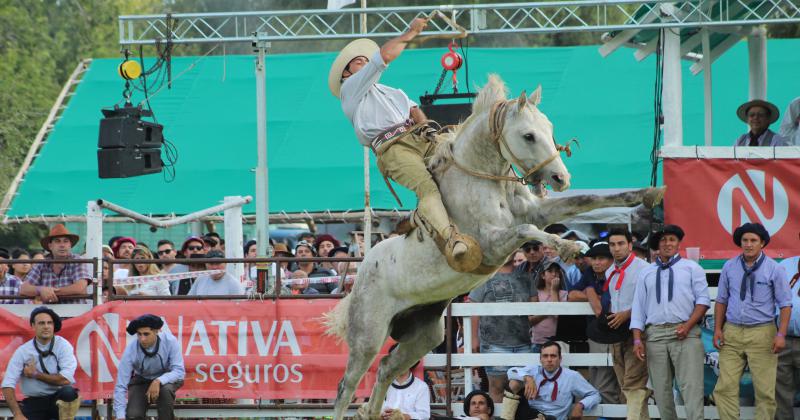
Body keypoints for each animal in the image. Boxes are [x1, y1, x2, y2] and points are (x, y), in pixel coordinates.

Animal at [324, 75, 664, 420]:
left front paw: (647, 193)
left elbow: (587, 200)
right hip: (368, 335)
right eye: (528, 135)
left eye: (549, 128)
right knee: (346, 385)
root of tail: (363, 270)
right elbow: (527, 230)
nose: (560, 177)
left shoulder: (538, 212)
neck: (483, 181)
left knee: (386, 369)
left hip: (425, 334)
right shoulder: (490, 243)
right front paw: (569, 245)